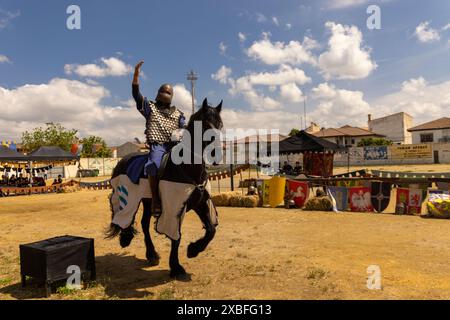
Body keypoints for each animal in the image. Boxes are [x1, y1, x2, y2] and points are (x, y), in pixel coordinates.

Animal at [106, 98, 225, 280]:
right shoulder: (173, 209)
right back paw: (126, 238)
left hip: (148, 201)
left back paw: (151, 254)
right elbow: (176, 237)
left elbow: (211, 230)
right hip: (129, 197)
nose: (216, 154)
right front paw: (176, 267)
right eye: (204, 124)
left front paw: (193, 250)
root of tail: (122, 160)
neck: (187, 167)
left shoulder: (200, 203)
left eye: (220, 124)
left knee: (144, 223)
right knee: (123, 214)